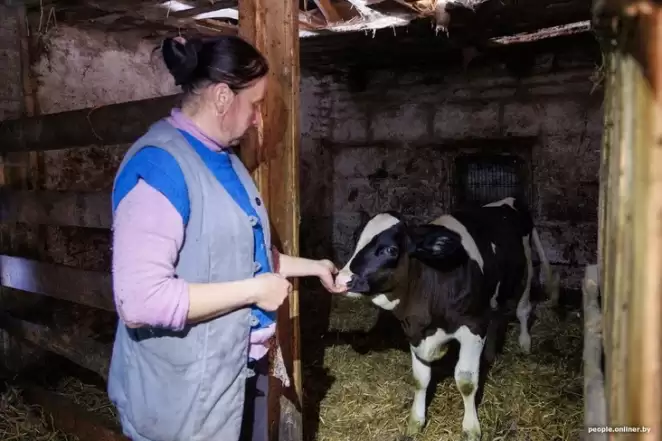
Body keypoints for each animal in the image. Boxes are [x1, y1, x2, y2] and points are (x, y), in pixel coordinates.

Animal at [334, 196, 559, 441]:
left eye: (390, 250)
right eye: (356, 241)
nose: (341, 280)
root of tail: (509, 200)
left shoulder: (472, 326)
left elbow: (466, 381)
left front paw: (471, 428)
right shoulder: (414, 331)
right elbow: (420, 379)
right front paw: (416, 422)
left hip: (526, 269)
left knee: (523, 309)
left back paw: (525, 343)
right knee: (495, 316)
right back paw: (489, 353)